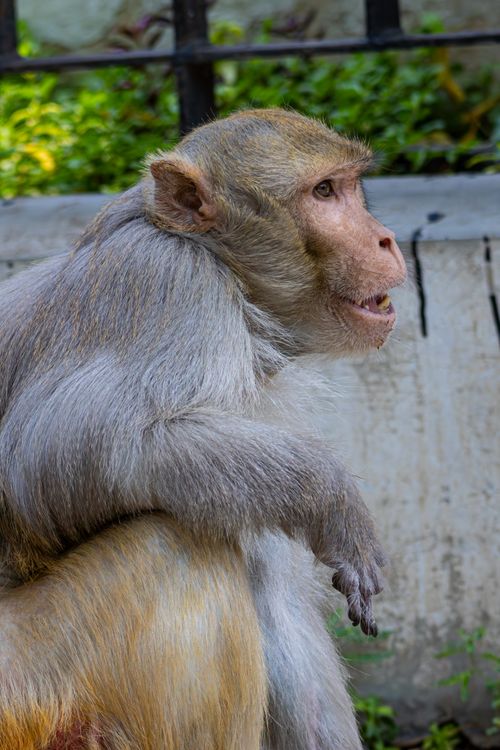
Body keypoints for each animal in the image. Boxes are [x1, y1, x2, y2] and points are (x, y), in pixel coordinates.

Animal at [0, 108, 407, 750]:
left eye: (346, 186)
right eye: (323, 192)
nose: (386, 238)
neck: (234, 287)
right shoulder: (167, 284)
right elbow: (53, 457)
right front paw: (332, 497)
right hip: (33, 689)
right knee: (174, 547)